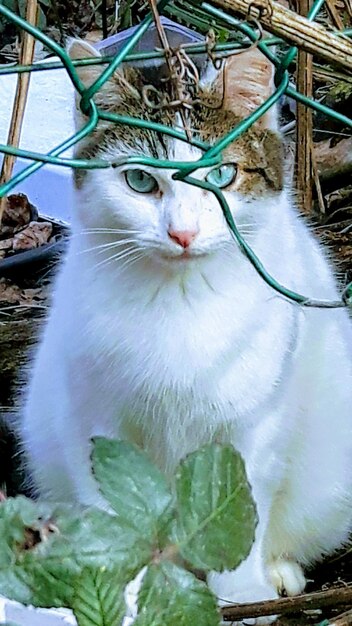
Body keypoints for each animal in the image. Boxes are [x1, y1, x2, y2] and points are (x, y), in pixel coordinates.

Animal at [20, 36, 352, 616]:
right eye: (138, 180)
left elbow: (244, 504)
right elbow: (113, 507)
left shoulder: (254, 424)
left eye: (221, 176)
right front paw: (125, 596)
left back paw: (278, 573)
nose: (183, 233)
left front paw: (241, 596)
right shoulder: (96, 423)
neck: (180, 296)